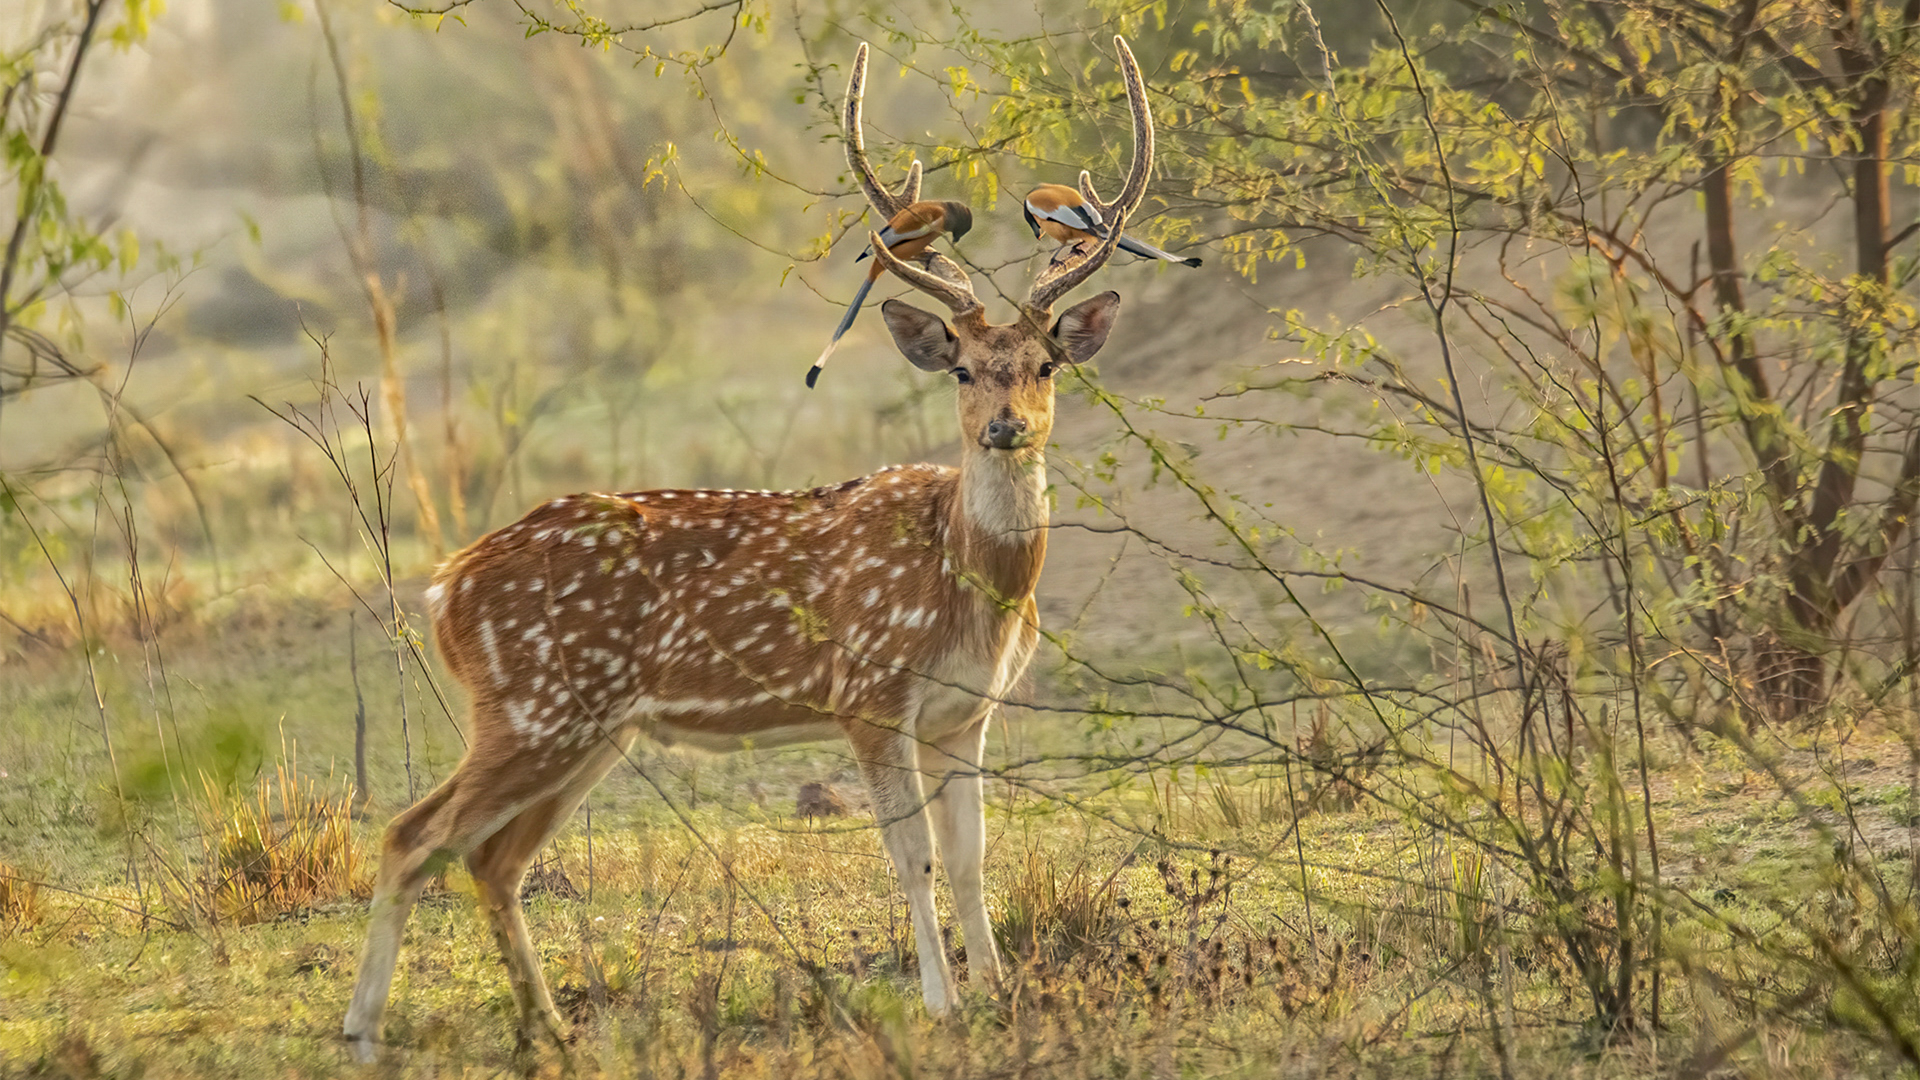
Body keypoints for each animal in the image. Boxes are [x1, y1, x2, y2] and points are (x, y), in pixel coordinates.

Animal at [341, 35, 1152, 1060]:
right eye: (964, 370)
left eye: (1047, 364)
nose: (1006, 428)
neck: (968, 581)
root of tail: (445, 591)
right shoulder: (867, 692)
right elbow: (914, 858)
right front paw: (941, 1005)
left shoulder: (963, 712)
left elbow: (971, 858)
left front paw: (1000, 994)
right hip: (533, 706)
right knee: (412, 835)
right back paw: (364, 1035)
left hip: (588, 725)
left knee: (491, 857)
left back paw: (551, 1029)